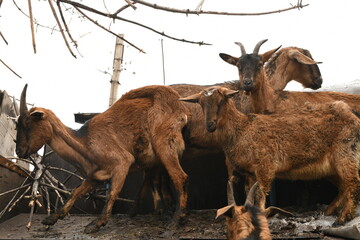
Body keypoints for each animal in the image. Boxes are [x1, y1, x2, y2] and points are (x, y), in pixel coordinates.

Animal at [14, 84, 188, 232]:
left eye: (28, 125)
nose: (19, 151)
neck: (85, 142)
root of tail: (179, 105)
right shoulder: (95, 176)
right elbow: (76, 192)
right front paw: (52, 218)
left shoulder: (122, 162)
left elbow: (112, 192)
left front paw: (98, 223)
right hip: (155, 158)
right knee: (159, 180)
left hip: (164, 144)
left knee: (180, 177)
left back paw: (176, 219)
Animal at [180, 86, 360, 225]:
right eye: (201, 103)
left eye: (221, 101)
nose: (209, 125)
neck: (242, 129)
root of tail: (351, 115)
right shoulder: (250, 173)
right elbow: (250, 194)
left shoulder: (265, 167)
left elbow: (260, 195)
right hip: (330, 167)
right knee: (343, 186)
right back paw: (330, 212)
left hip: (345, 153)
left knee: (353, 182)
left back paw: (342, 218)